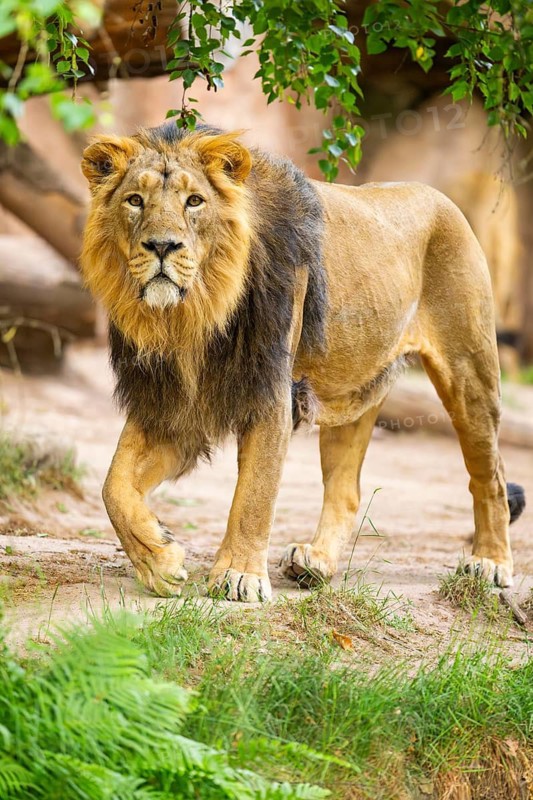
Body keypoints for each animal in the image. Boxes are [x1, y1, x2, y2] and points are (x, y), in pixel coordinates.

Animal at [80, 123, 525, 601]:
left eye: (194, 201)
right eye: (135, 200)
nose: (162, 246)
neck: (192, 315)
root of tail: (443, 198)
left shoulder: (270, 392)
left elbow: (254, 493)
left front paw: (239, 575)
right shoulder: (169, 400)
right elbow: (113, 486)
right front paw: (159, 561)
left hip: (469, 373)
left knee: (492, 475)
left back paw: (490, 563)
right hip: (355, 392)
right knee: (347, 491)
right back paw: (315, 562)